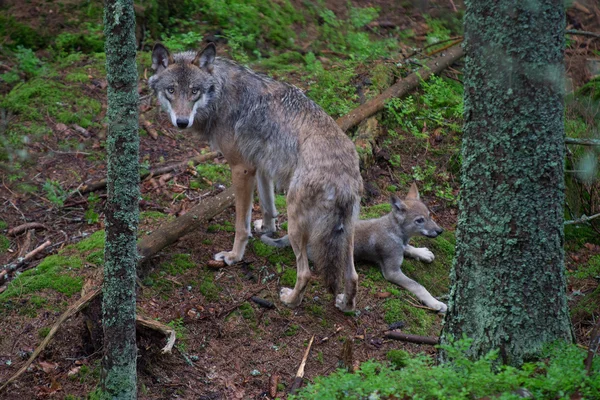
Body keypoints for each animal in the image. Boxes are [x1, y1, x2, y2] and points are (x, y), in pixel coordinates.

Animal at [151, 44, 366, 312]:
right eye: (171, 90)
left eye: (194, 91)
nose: (182, 122)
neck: (220, 94)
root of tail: (344, 176)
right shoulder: (261, 166)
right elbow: (267, 206)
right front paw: (267, 229)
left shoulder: (241, 169)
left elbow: (240, 225)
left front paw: (233, 257)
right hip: (346, 234)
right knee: (353, 275)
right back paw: (345, 305)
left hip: (297, 226)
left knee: (305, 273)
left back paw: (290, 300)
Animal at [262, 184, 446, 312]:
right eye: (419, 220)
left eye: (430, 215)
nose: (440, 231)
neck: (395, 231)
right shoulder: (392, 271)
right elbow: (418, 286)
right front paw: (436, 303)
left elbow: (409, 248)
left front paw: (423, 253)